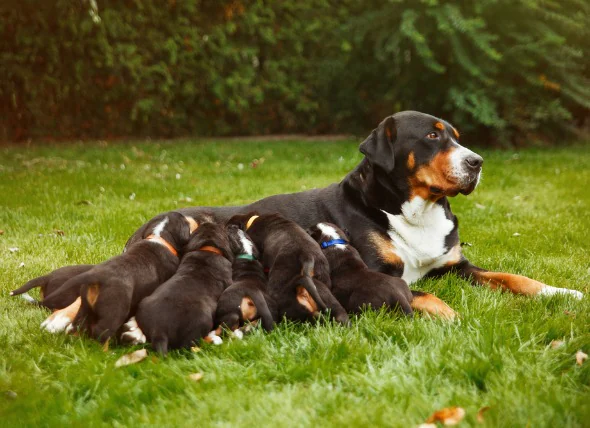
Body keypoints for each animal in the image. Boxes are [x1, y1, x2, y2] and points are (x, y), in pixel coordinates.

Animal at [44, 212, 197, 342]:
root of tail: (96, 277)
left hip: (87, 306)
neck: (158, 237)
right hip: (115, 309)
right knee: (101, 330)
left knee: (79, 322)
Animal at [135, 221, 235, 354]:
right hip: (202, 320)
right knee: (187, 346)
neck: (207, 249)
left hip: (143, 304)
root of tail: (158, 331)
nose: (207, 222)